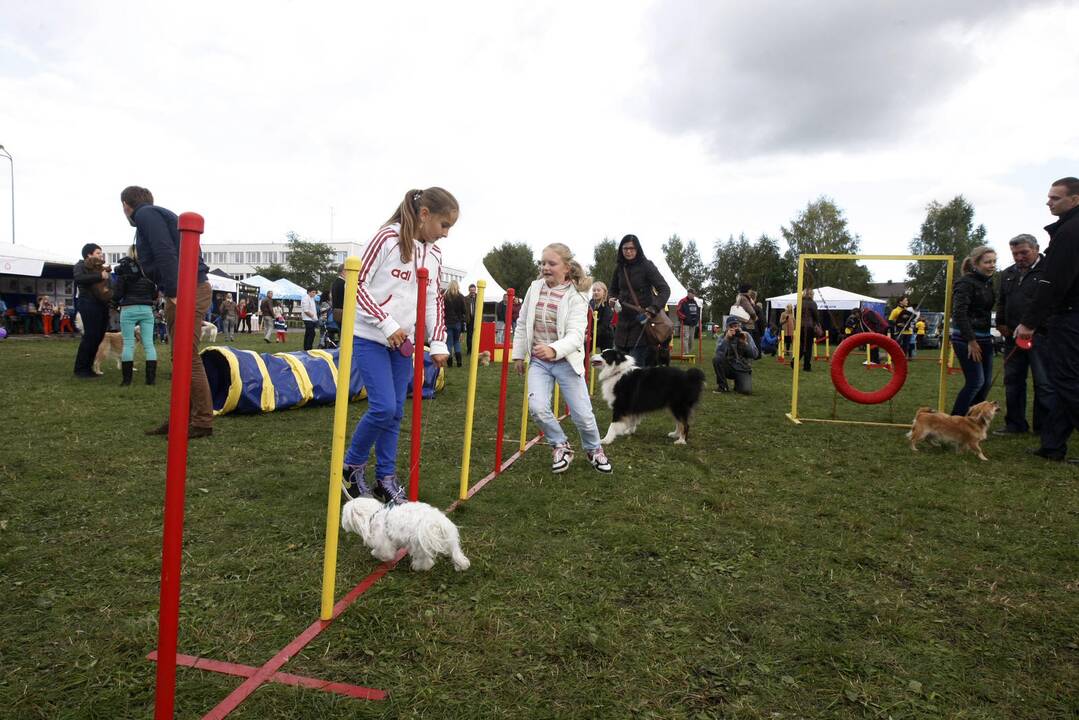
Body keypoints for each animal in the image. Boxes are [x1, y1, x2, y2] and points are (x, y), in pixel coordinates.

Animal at [340, 498, 468, 569]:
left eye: (344, 515)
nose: (342, 525)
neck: (374, 515)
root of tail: (437, 521)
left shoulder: (384, 543)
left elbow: (384, 553)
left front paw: (376, 554)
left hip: (418, 544)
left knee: (426, 561)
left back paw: (418, 567)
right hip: (449, 540)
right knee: (456, 554)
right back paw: (461, 565)